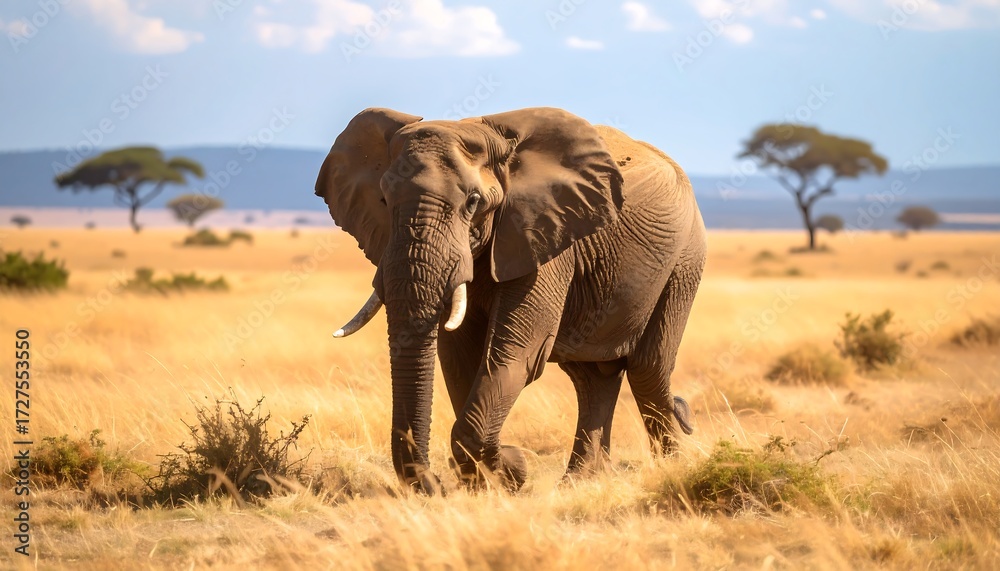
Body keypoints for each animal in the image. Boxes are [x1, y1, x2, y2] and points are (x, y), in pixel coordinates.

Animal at [315, 107, 705, 494]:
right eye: (383, 200)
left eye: (473, 203)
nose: (433, 485)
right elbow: (459, 355)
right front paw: (489, 480)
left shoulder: (542, 236)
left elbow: (519, 352)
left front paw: (507, 469)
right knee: (593, 376)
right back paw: (579, 481)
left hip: (684, 260)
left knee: (648, 368)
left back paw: (671, 466)